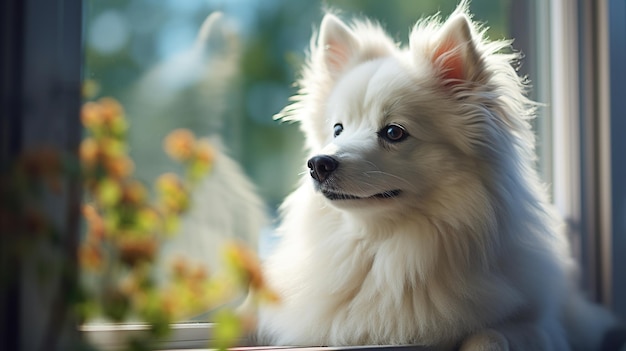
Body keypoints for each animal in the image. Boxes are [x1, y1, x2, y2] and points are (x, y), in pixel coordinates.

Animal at [258, 2, 616, 351]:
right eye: (337, 130)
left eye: (394, 132)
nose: (318, 164)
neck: (388, 250)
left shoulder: (543, 325)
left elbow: (493, 335)